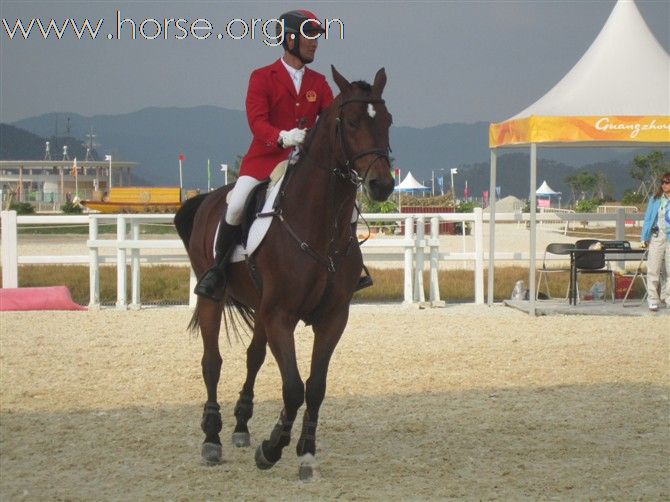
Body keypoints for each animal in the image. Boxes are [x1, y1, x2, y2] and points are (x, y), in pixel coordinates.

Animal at [175, 65, 394, 478]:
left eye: (388, 120)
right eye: (352, 122)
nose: (383, 185)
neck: (320, 227)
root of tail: (209, 198)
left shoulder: (331, 317)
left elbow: (315, 386)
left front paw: (305, 452)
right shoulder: (281, 315)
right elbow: (293, 387)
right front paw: (273, 447)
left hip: (260, 307)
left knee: (253, 357)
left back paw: (241, 426)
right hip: (217, 298)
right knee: (212, 362)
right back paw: (212, 438)